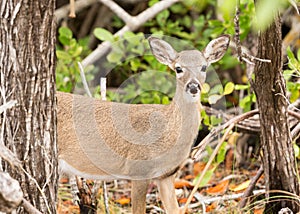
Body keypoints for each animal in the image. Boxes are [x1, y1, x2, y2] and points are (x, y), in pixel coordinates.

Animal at [56, 34, 230, 213]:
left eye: (204, 67)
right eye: (178, 68)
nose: (193, 86)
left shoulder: (166, 175)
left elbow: (174, 209)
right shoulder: (138, 169)